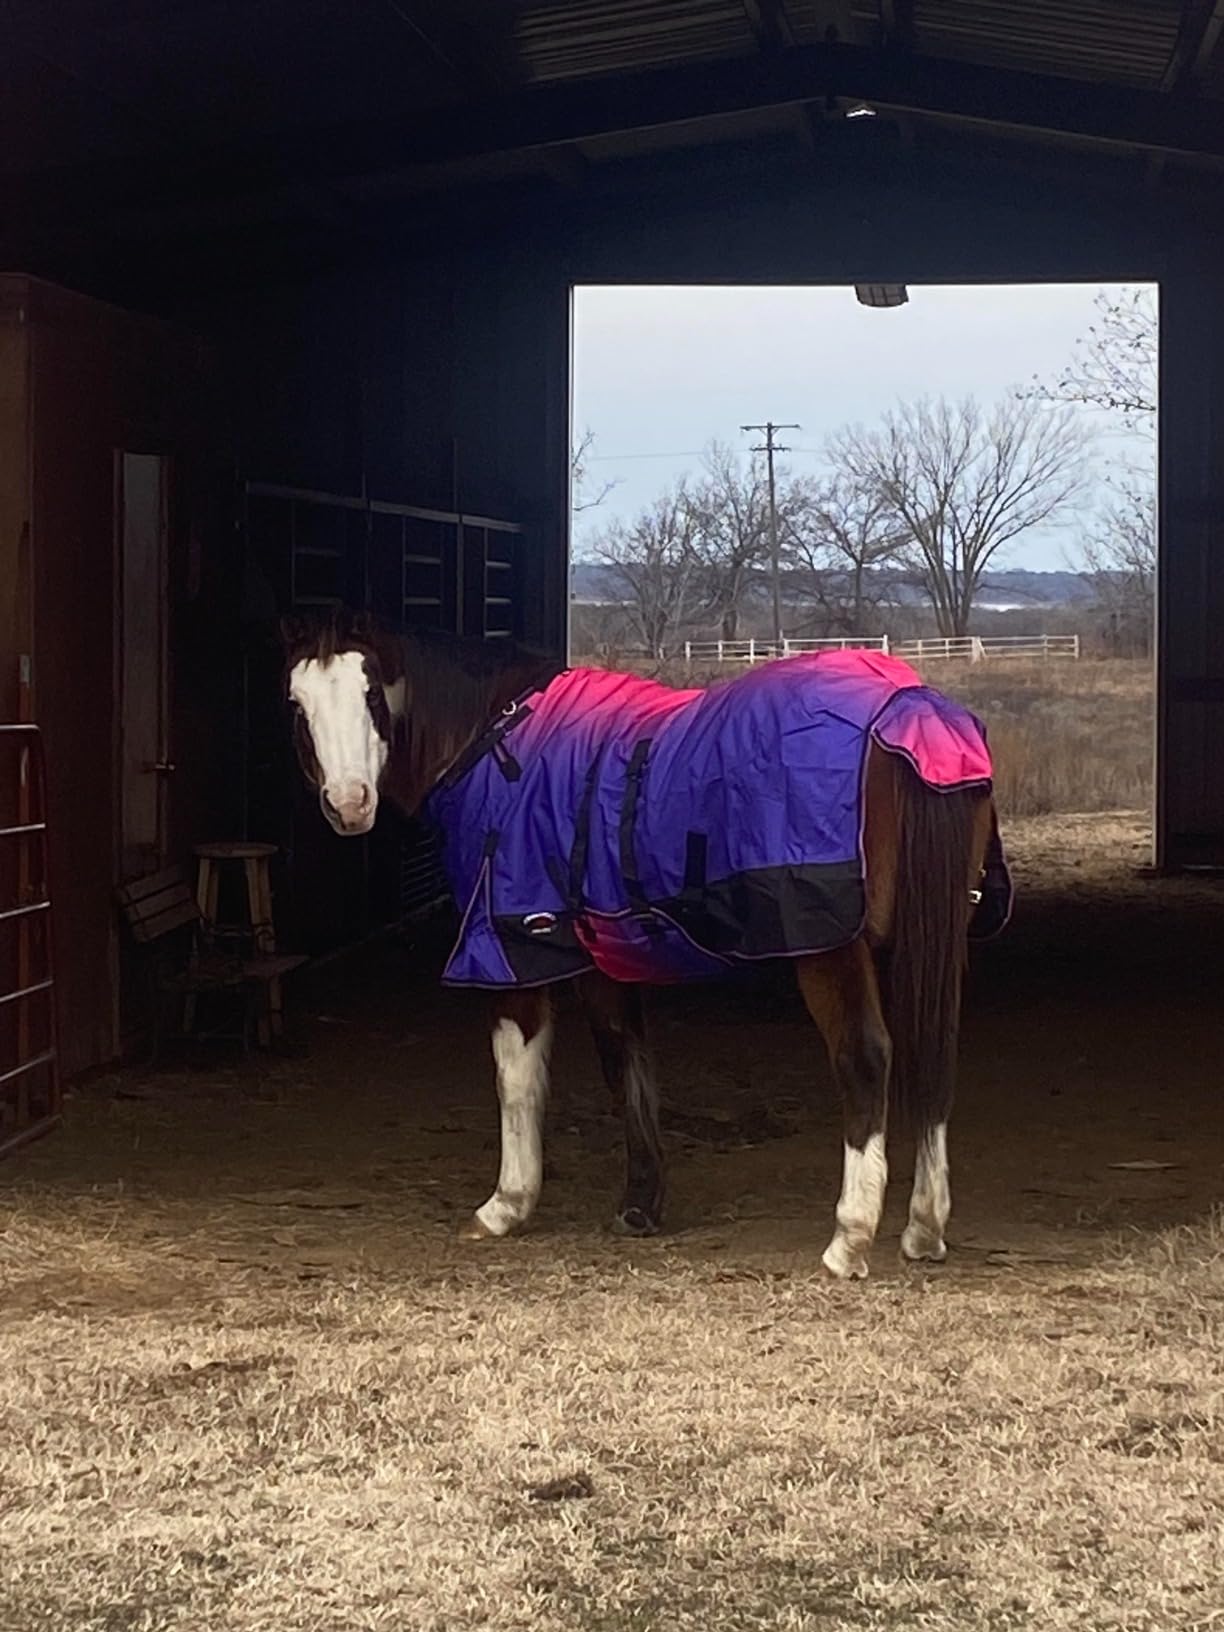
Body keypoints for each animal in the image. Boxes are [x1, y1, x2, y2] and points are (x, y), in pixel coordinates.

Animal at [282, 612, 1010, 1280]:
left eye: (373, 694)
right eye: (296, 703)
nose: (349, 804)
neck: (497, 742)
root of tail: (913, 710)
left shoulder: (514, 956)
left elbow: (518, 1081)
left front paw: (506, 1205)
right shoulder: (607, 955)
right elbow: (627, 1064)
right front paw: (640, 1204)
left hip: (832, 950)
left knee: (865, 1059)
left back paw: (849, 1239)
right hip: (937, 937)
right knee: (933, 1056)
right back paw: (924, 1228)